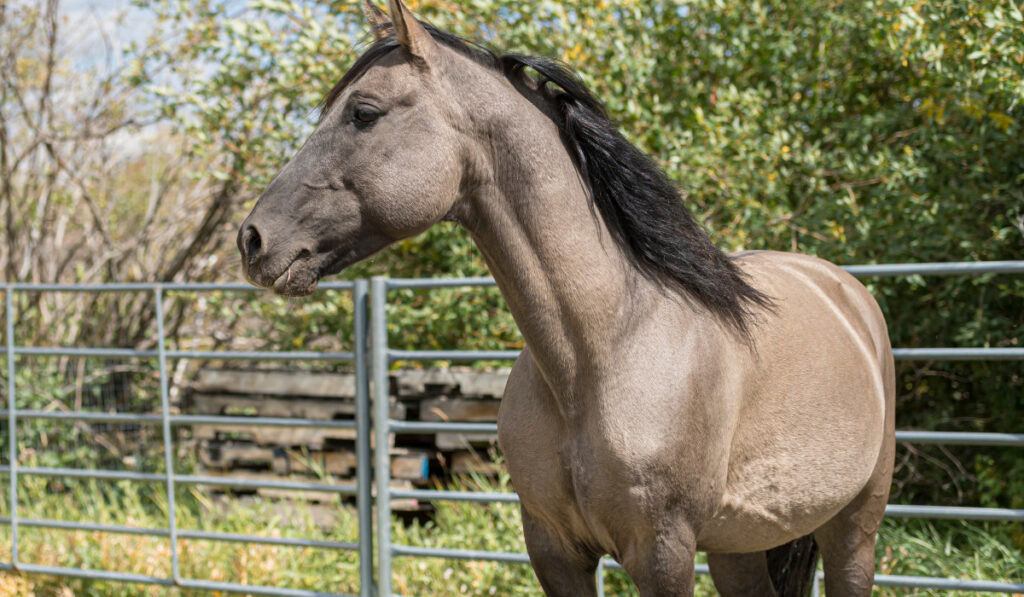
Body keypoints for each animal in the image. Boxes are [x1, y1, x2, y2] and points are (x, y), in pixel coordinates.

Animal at [235, 2, 892, 593]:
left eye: (364, 113)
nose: (252, 240)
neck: (600, 354)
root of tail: (846, 292)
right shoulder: (554, 549)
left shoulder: (662, 554)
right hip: (740, 544)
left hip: (853, 528)